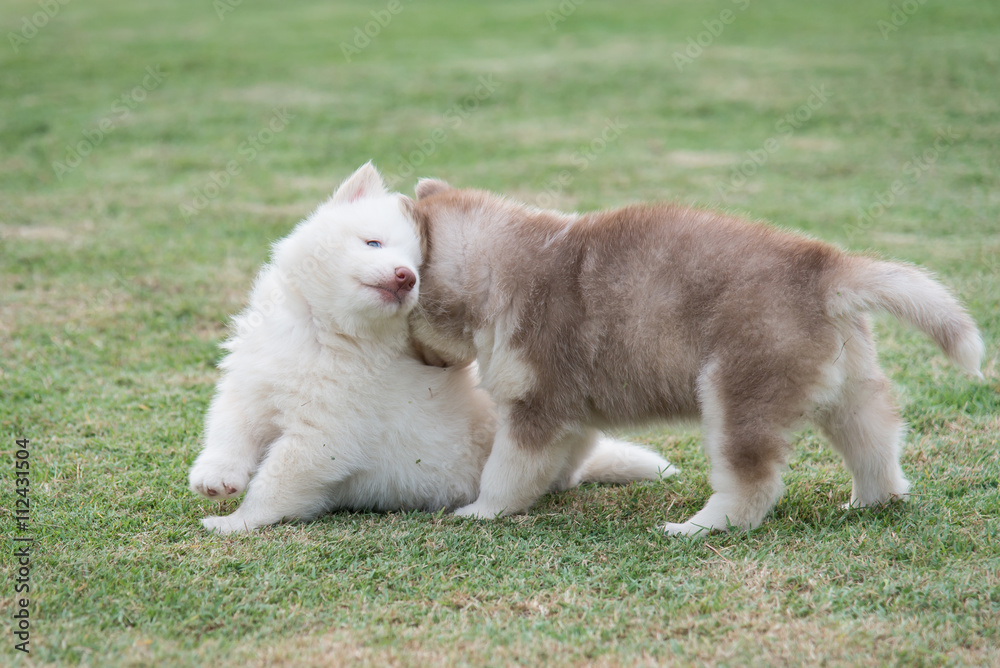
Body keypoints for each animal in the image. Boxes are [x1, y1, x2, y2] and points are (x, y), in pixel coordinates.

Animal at [189, 163, 672, 532]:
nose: (406, 276)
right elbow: (229, 431)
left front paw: (235, 521)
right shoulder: (250, 386)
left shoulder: (324, 439)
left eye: (420, 268)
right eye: (373, 242)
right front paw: (215, 477)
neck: (325, 333)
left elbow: (274, 483)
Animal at [404, 176, 984, 532]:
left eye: (408, 318)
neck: (501, 266)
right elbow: (569, 453)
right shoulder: (570, 412)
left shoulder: (536, 406)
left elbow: (506, 469)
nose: (423, 364)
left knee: (753, 483)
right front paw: (558, 485)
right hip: (850, 390)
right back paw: (873, 499)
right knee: (875, 442)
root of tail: (826, 267)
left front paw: (481, 511)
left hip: (737, 393)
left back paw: (698, 527)